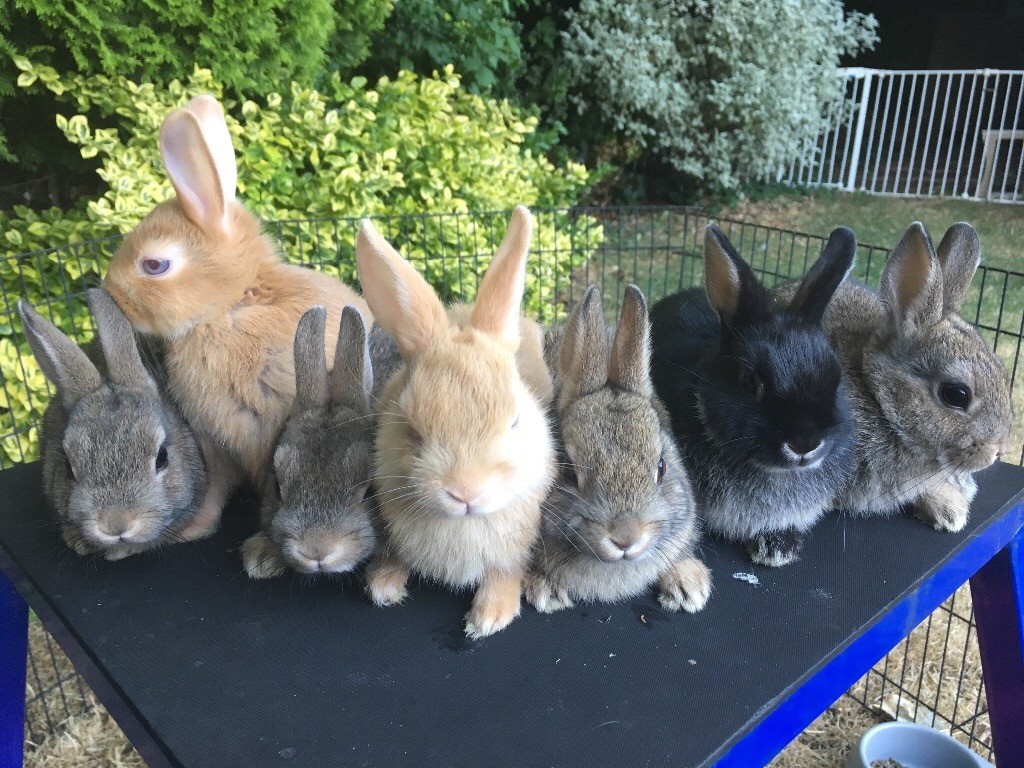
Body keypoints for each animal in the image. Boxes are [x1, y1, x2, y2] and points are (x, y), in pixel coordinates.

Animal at [101, 94, 372, 543]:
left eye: (154, 264)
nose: (110, 291)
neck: (229, 305)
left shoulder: (266, 438)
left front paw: (262, 549)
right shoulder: (214, 445)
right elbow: (214, 490)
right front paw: (192, 529)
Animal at [357, 205, 556, 639]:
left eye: (515, 421)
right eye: (411, 429)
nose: (466, 492)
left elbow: (505, 569)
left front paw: (490, 617)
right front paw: (383, 586)